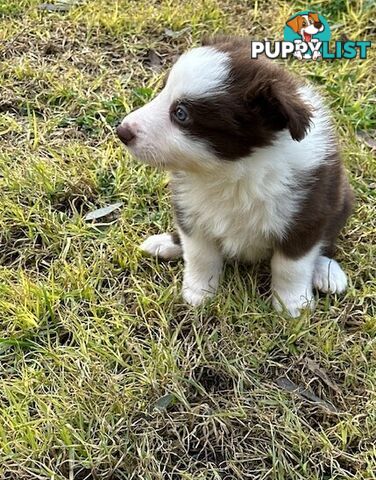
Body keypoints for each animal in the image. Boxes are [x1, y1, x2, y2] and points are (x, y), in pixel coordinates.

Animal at [117, 35, 352, 316]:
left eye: (181, 114)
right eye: (163, 91)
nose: (122, 131)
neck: (230, 172)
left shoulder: (306, 216)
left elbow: (290, 266)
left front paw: (292, 304)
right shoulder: (190, 210)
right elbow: (200, 254)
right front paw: (199, 292)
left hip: (341, 201)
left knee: (326, 241)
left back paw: (326, 271)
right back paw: (166, 244)